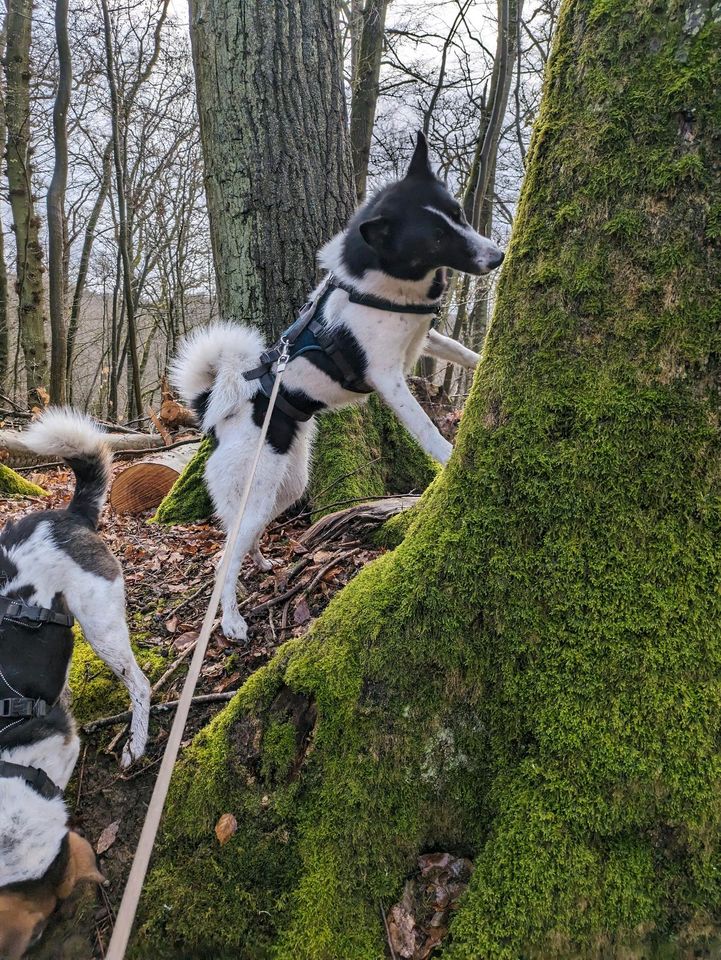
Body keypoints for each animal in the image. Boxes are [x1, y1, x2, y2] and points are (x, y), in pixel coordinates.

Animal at [0, 406, 149, 960]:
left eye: (41, 933)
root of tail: (66, 515)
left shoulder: (60, 750)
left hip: (101, 622)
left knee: (142, 686)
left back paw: (137, 743)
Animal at [172, 131, 504, 640]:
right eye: (436, 237)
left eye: (459, 215)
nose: (499, 255)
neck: (384, 285)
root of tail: (221, 414)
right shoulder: (388, 378)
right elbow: (426, 428)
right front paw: (450, 458)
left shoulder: (427, 340)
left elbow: (465, 353)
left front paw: (485, 360)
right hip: (256, 489)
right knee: (222, 559)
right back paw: (229, 619)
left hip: (285, 488)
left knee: (239, 538)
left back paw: (262, 561)